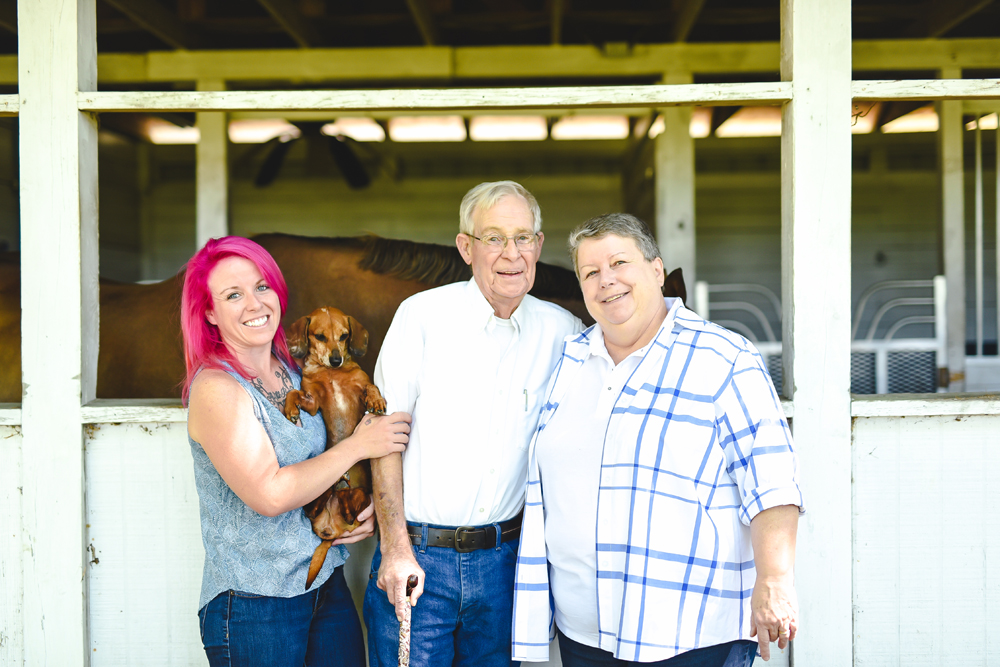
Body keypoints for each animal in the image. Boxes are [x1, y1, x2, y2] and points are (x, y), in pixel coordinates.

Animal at [288, 308, 388, 588]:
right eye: (320, 336)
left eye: (344, 336)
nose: (336, 359)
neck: (331, 375)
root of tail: (330, 532)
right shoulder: (312, 401)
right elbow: (293, 393)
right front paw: (289, 408)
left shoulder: (359, 385)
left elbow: (370, 386)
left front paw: (376, 400)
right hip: (324, 504)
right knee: (317, 507)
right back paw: (333, 488)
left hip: (361, 497)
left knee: (350, 509)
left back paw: (340, 490)